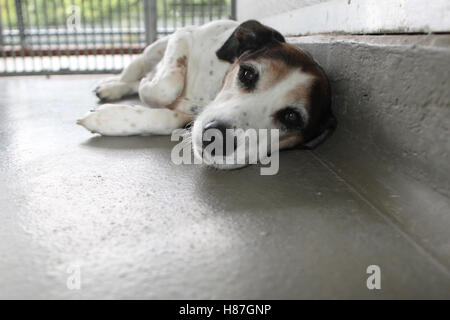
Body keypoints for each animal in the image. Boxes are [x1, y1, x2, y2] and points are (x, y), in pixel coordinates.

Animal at [76, 19, 334, 170]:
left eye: (291, 117)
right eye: (247, 73)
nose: (217, 138)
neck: (211, 91)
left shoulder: (188, 116)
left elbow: (163, 117)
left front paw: (108, 119)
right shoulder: (183, 36)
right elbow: (164, 87)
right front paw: (147, 86)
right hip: (152, 50)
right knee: (134, 71)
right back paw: (114, 85)